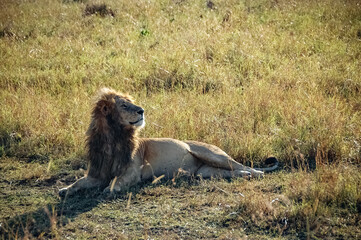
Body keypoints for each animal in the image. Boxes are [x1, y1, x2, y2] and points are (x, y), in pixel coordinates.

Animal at [59, 88, 278, 197]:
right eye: (124, 105)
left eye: (130, 102)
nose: (142, 110)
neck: (112, 139)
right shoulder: (97, 172)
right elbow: (79, 182)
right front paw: (64, 190)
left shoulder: (132, 172)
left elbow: (116, 181)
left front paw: (109, 190)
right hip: (208, 172)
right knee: (233, 172)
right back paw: (245, 176)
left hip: (213, 155)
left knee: (246, 167)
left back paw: (254, 174)